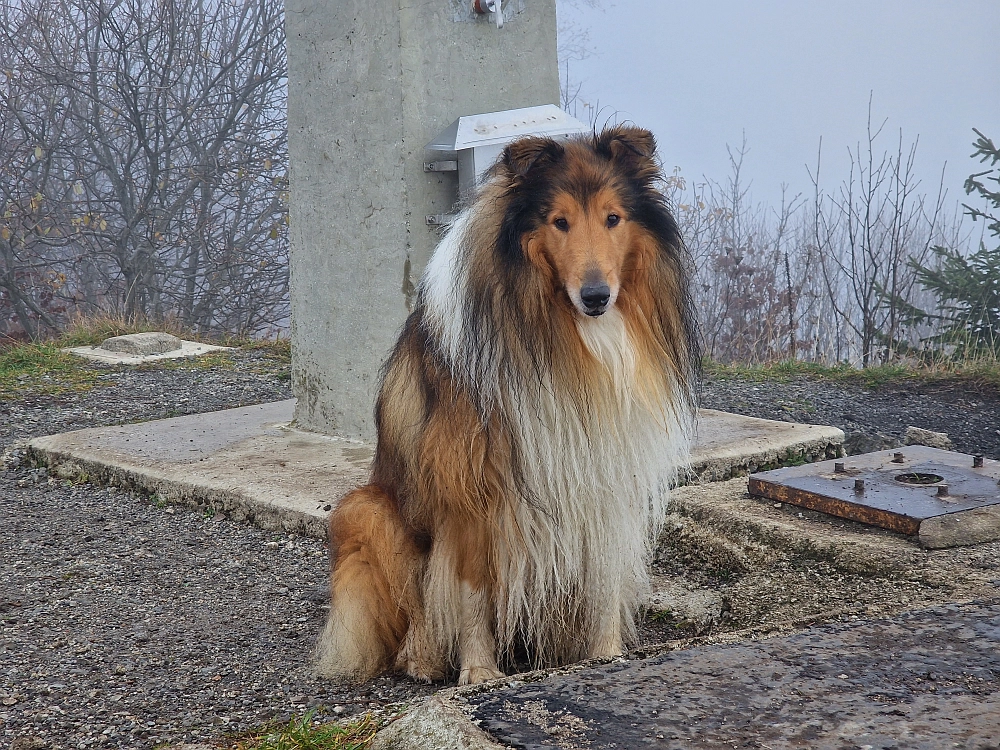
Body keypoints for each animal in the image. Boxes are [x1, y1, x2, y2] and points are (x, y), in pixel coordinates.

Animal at [318, 125, 696, 688]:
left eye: (613, 218)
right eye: (559, 221)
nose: (596, 297)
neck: (568, 337)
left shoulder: (608, 471)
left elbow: (605, 576)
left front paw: (606, 653)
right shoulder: (472, 488)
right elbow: (471, 591)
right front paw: (478, 671)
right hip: (369, 511)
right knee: (416, 611)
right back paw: (423, 657)